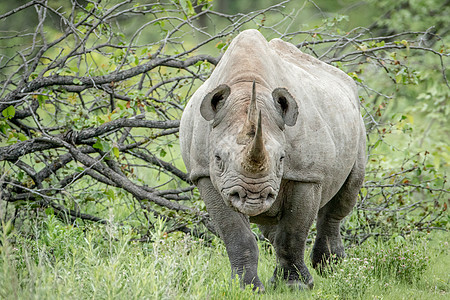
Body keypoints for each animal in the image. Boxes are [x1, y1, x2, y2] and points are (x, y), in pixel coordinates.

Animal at [179, 29, 366, 292]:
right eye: (217, 158)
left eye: (281, 159)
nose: (253, 195)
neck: (247, 86)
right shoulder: (204, 174)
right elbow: (236, 235)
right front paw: (246, 288)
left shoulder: (306, 176)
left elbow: (293, 232)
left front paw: (296, 286)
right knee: (271, 226)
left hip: (357, 121)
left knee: (344, 196)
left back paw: (331, 269)